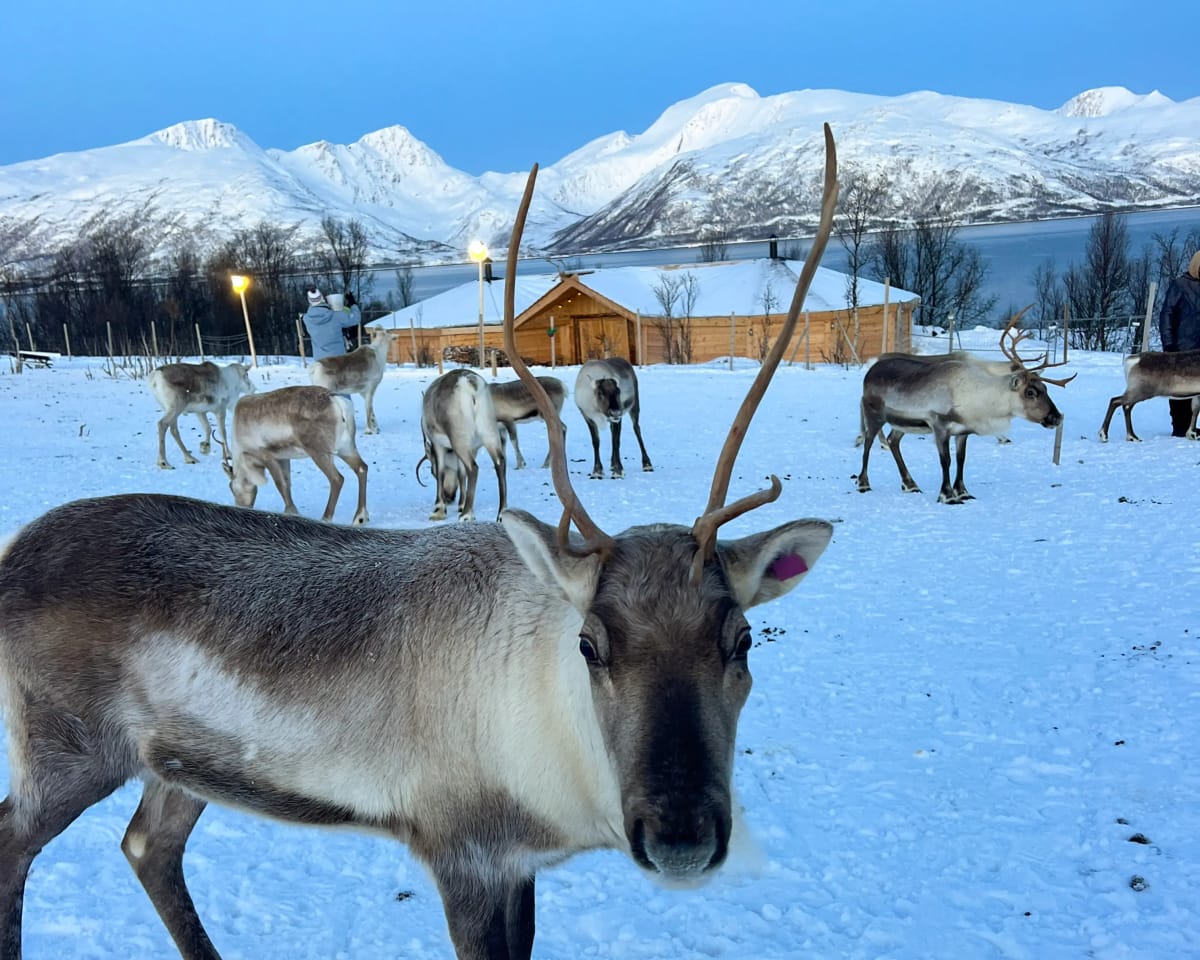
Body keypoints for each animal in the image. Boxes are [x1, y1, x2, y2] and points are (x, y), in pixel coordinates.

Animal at [222, 385, 369, 525]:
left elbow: (280, 484)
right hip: (347, 447)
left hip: (319, 451)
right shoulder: (284, 457)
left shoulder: (266, 455)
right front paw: (290, 511)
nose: (241, 507)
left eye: (232, 488)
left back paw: (326, 518)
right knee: (362, 468)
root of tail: (335, 400)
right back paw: (360, 518)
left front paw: (292, 511)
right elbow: (287, 483)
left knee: (337, 479)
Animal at [420, 368, 508, 522]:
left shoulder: (437, 444)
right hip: (489, 431)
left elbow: (441, 471)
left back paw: (466, 514)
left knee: (473, 468)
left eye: (431, 471)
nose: (449, 497)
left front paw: (439, 510)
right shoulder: (472, 447)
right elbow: (461, 473)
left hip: (458, 438)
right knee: (499, 462)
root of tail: (471, 383)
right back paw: (501, 513)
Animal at [856, 313, 1075, 503]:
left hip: (902, 423)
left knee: (893, 441)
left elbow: (961, 459)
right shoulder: (939, 425)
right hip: (874, 413)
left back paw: (910, 484)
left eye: (1045, 388)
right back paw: (863, 483)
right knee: (868, 441)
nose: (1056, 417)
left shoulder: (963, 431)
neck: (979, 399)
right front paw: (947, 495)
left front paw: (962, 492)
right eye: (1030, 392)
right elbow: (946, 460)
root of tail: (870, 371)